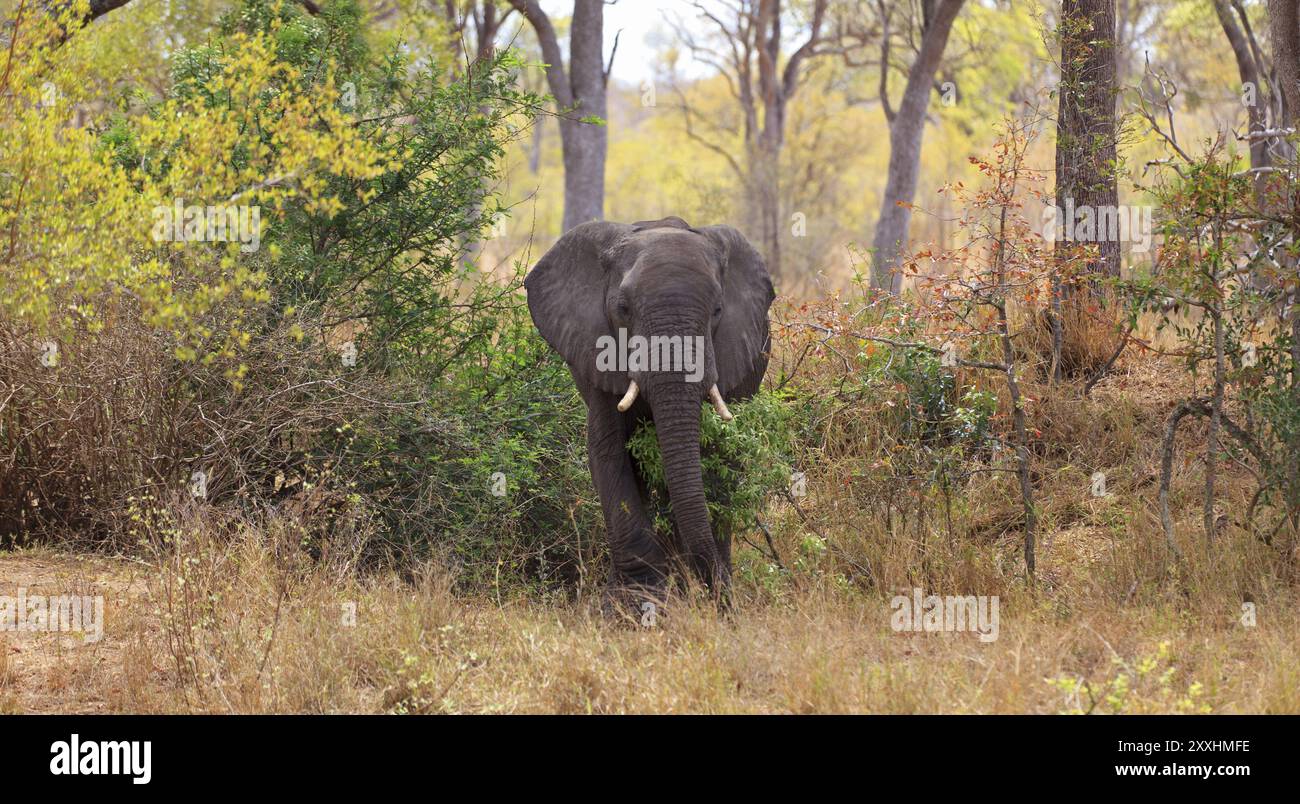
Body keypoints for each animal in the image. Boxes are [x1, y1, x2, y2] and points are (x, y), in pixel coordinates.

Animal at [525, 216, 775, 603]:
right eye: (623, 309)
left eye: (717, 311)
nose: (723, 605)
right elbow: (608, 453)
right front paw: (637, 601)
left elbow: (717, 455)